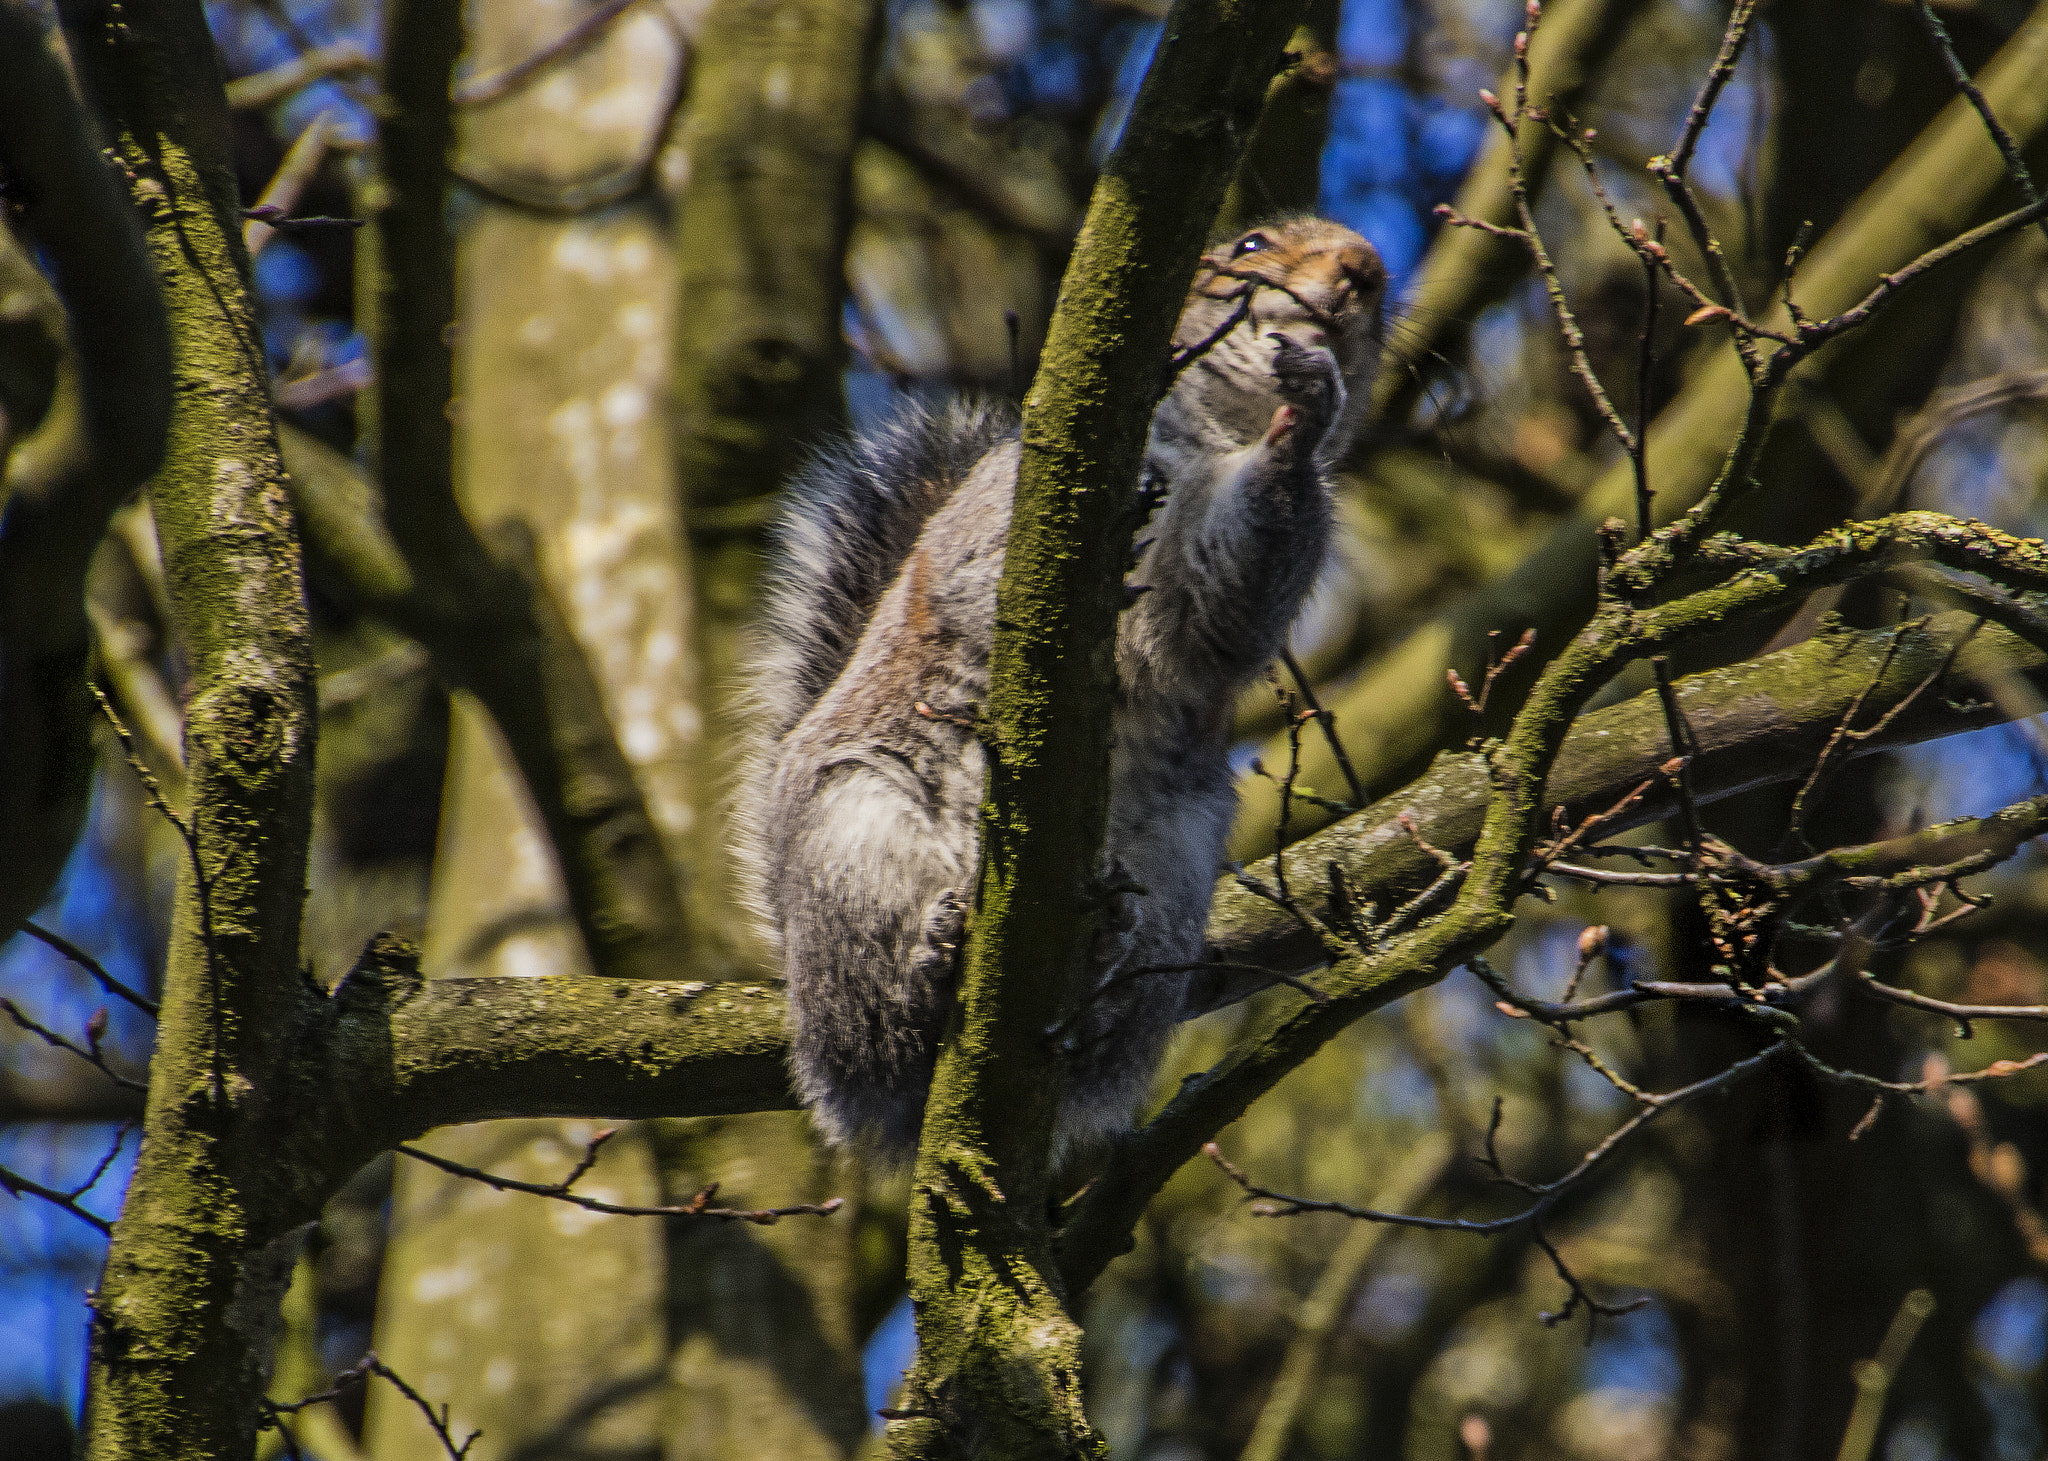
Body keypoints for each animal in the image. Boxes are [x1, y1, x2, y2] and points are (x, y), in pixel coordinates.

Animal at [734, 216, 1386, 1161]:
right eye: (1252, 243)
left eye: (1383, 288)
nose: (1363, 270)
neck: (1214, 438)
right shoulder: (1001, 509)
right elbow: (981, 583)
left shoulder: (1225, 574)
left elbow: (1222, 617)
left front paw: (1307, 412)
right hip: (853, 834)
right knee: (878, 1035)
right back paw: (925, 975)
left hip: (1170, 878)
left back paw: (1093, 973)